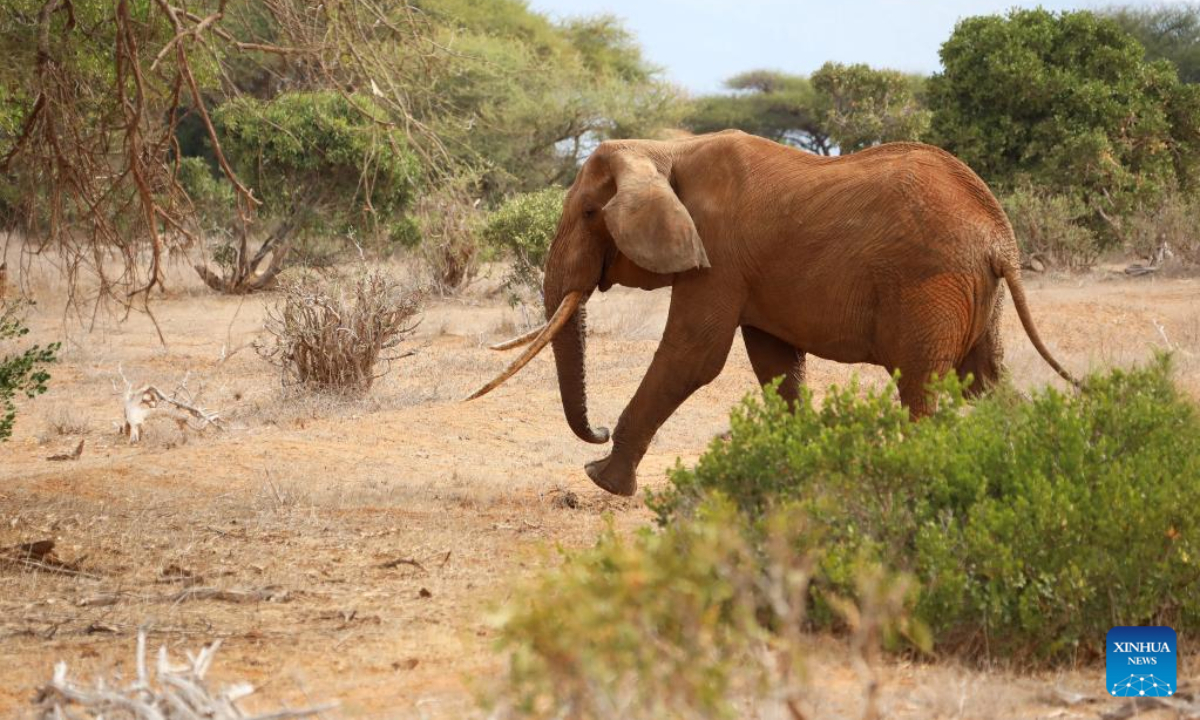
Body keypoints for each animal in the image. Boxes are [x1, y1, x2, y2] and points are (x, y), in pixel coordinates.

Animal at [469, 130, 1077, 497]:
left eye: (590, 214)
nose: (593, 432)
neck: (664, 152)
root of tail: (1002, 242)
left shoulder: (717, 253)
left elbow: (693, 356)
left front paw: (602, 482)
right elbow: (775, 363)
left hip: (932, 288)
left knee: (923, 389)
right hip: (976, 297)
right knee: (986, 383)